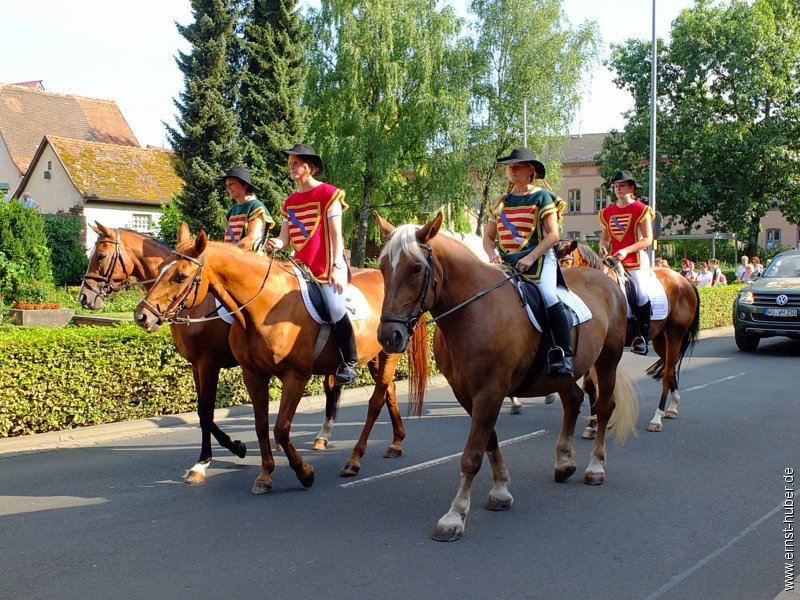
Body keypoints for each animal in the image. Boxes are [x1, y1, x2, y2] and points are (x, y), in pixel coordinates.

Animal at [78, 225, 372, 482]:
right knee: (331, 388)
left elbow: (206, 412)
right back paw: (321, 436)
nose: (84, 297)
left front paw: (215, 456)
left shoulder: (208, 362)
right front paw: (228, 450)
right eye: (161, 271)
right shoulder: (196, 365)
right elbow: (203, 411)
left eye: (101, 255)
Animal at [133, 223, 424, 494]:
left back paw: (354, 458)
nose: (141, 316)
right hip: (375, 357)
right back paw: (395, 442)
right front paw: (264, 473)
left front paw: (304, 472)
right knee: (389, 392)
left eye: (181, 276)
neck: (264, 305)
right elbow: (260, 424)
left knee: (375, 401)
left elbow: (279, 428)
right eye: (161, 270)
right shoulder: (249, 374)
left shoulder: (289, 375)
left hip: (389, 354)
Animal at [376, 213, 636, 540]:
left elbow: (472, 454)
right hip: (562, 374)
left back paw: (595, 467)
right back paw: (564, 462)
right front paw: (500, 491)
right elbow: (489, 441)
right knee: (573, 400)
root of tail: (606, 281)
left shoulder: (489, 391)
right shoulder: (468, 393)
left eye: (416, 267)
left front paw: (455, 515)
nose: (389, 336)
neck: (473, 310)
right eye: (383, 267)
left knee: (603, 408)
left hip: (608, 360)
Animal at [556, 238, 700, 432]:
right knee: (670, 369)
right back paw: (672, 407)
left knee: (668, 373)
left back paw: (657, 418)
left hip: (675, 334)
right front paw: (593, 424)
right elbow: (590, 385)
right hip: (660, 339)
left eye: (566, 261)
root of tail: (683, 279)